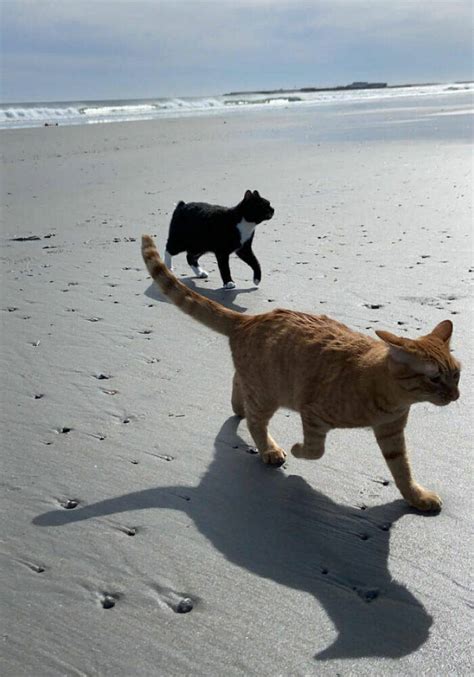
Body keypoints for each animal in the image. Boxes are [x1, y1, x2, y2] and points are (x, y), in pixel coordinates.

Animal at [141, 235, 460, 510]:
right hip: (267, 395)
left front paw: (417, 498)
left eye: (457, 374)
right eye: (434, 378)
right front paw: (297, 449)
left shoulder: (392, 433)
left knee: (238, 384)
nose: (456, 396)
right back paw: (269, 449)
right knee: (255, 421)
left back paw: (238, 406)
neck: (391, 397)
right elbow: (315, 449)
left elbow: (402, 470)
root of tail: (250, 318)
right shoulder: (313, 413)